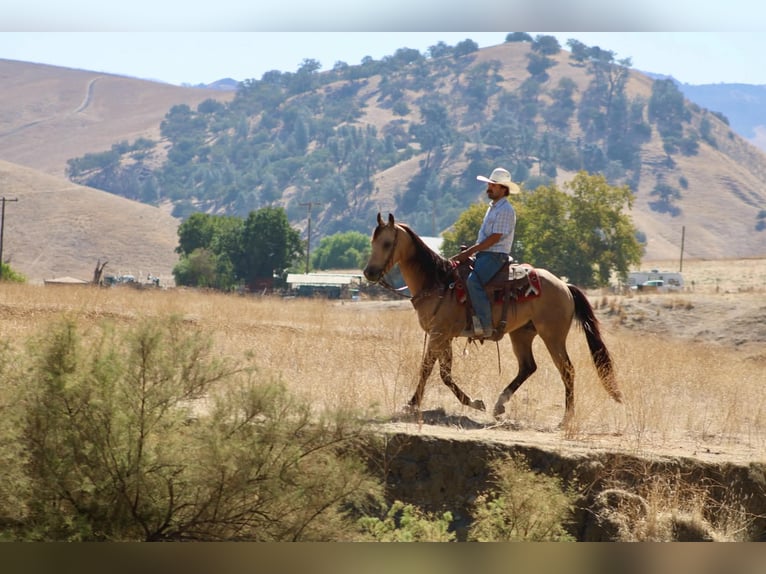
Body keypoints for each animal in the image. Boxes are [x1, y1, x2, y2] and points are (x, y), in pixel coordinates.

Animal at [362, 213, 622, 427]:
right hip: (522, 334)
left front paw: (412, 403)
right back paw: (499, 405)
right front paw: (475, 402)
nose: (369, 273)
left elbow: (427, 369)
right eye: (373, 242)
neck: (438, 282)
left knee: (567, 371)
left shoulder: (438, 333)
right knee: (528, 367)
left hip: (553, 336)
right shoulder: (444, 336)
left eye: (387, 243)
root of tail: (565, 286)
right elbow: (445, 374)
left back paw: (565, 419)